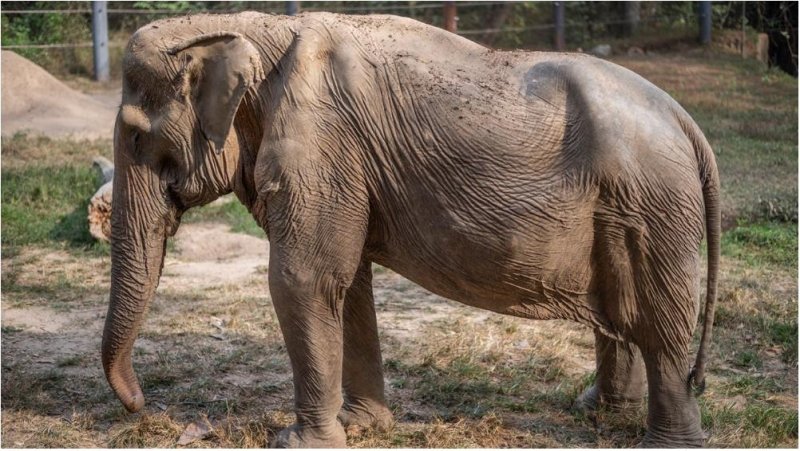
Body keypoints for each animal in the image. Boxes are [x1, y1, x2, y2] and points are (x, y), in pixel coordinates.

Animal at [103, 10, 720, 448]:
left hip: (655, 207)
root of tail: (688, 122)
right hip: (629, 209)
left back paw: (665, 442)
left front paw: (298, 442)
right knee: (625, 313)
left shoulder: (321, 146)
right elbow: (347, 284)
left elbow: (303, 279)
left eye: (135, 137)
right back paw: (595, 412)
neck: (252, 28)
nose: (141, 405)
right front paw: (364, 427)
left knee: (661, 325)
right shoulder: (344, 164)